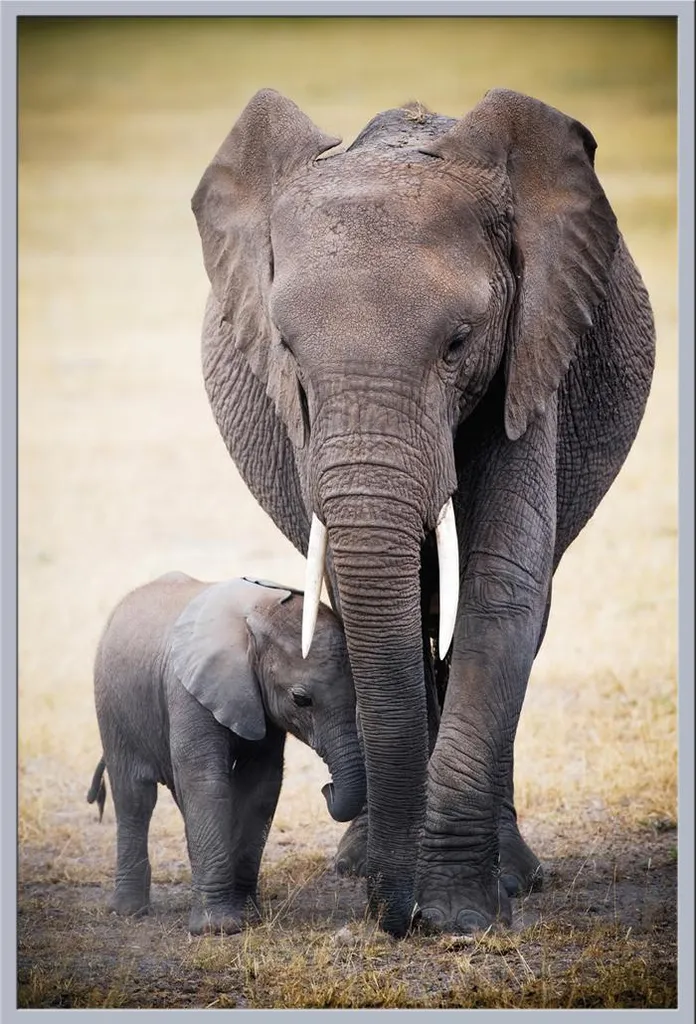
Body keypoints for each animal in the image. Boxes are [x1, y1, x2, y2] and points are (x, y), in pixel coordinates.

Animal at [88, 572, 365, 935]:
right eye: (301, 699)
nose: (327, 788)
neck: (255, 617)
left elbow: (261, 785)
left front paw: (247, 915)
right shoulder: (188, 690)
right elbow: (206, 781)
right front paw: (217, 929)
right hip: (111, 706)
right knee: (134, 797)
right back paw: (129, 911)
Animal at [190, 88, 655, 938]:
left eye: (459, 342)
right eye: (286, 348)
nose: (391, 915)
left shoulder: (532, 349)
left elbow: (501, 589)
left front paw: (460, 917)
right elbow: (379, 598)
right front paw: (409, 891)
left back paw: (512, 875)